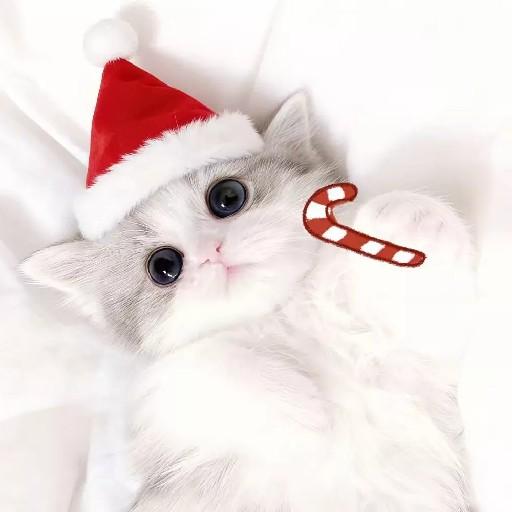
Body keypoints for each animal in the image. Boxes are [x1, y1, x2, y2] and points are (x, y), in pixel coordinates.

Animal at [22, 93, 474, 512]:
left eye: (227, 197)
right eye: (163, 267)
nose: (212, 251)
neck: (281, 316)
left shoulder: (411, 360)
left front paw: (410, 217)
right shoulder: (168, 400)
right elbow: (211, 363)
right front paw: (304, 410)